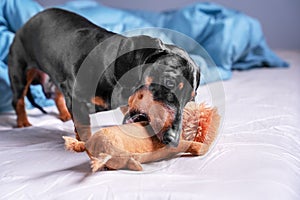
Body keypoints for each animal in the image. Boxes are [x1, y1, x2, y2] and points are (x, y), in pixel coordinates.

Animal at [8, 8, 200, 145]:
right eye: (169, 82)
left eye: (191, 99)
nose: (173, 140)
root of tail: (24, 25)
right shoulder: (76, 98)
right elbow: (84, 128)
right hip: (20, 73)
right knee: (18, 100)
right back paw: (23, 122)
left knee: (56, 96)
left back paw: (63, 114)